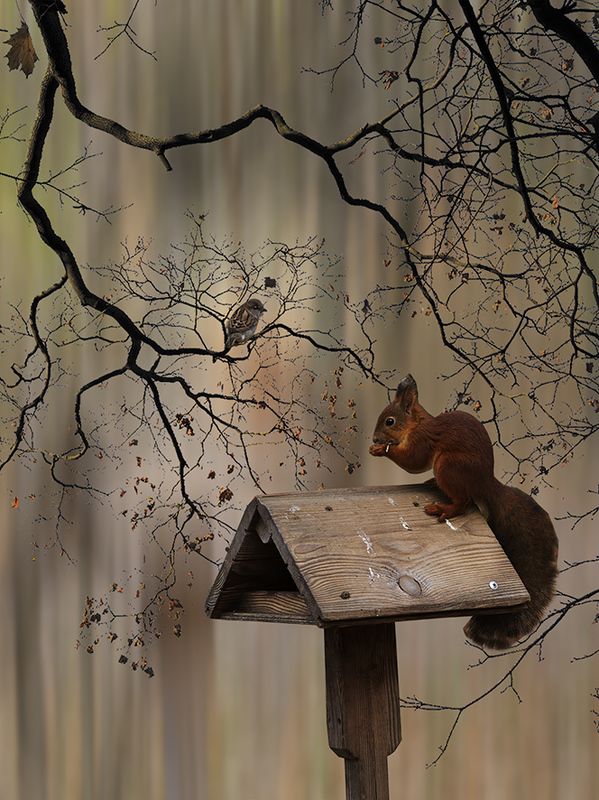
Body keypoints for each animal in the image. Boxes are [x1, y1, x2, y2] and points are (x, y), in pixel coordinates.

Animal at [369, 374, 558, 650]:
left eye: (390, 421)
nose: (374, 439)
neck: (416, 424)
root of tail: (486, 484)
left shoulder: (423, 441)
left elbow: (413, 460)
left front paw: (382, 450)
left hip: (448, 466)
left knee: (464, 502)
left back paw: (444, 508)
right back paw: (432, 484)